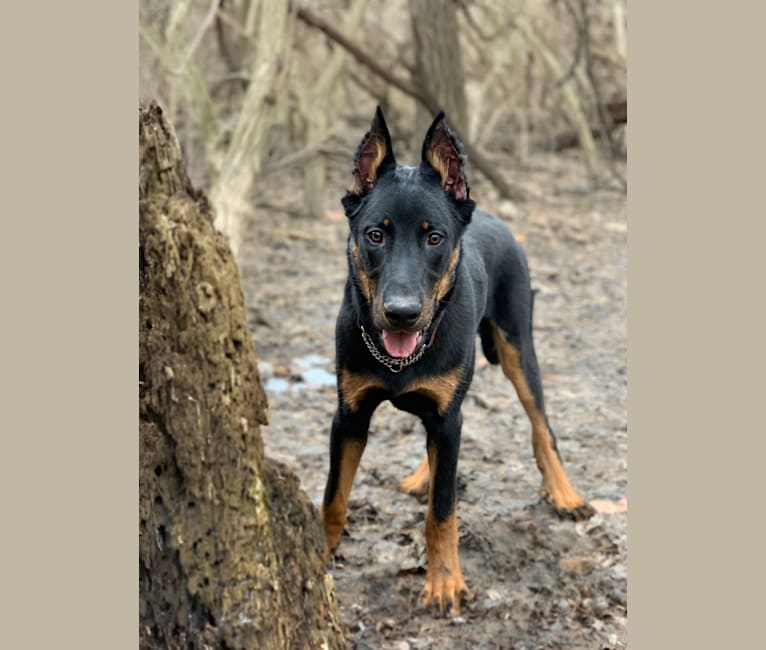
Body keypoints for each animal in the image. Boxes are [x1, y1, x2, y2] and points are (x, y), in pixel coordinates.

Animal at [320, 109, 596, 616]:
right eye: (375, 235)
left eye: (435, 237)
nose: (402, 313)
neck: (400, 360)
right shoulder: (349, 415)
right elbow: (334, 496)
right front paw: (320, 550)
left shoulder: (446, 418)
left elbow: (442, 511)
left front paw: (444, 581)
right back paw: (422, 475)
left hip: (518, 347)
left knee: (541, 427)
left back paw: (565, 493)